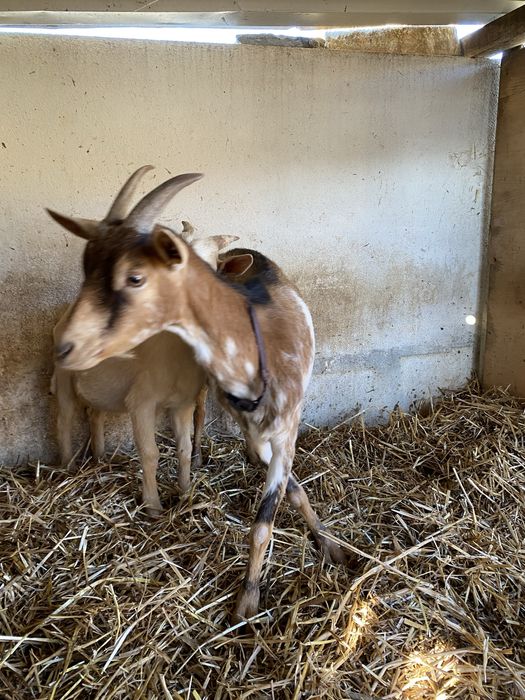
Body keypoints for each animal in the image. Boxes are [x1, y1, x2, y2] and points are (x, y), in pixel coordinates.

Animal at [48, 166, 347, 621]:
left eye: (134, 276)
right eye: (87, 268)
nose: (68, 344)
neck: (257, 347)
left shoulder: (286, 426)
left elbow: (270, 514)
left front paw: (322, 547)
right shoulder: (238, 421)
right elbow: (285, 491)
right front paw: (248, 600)